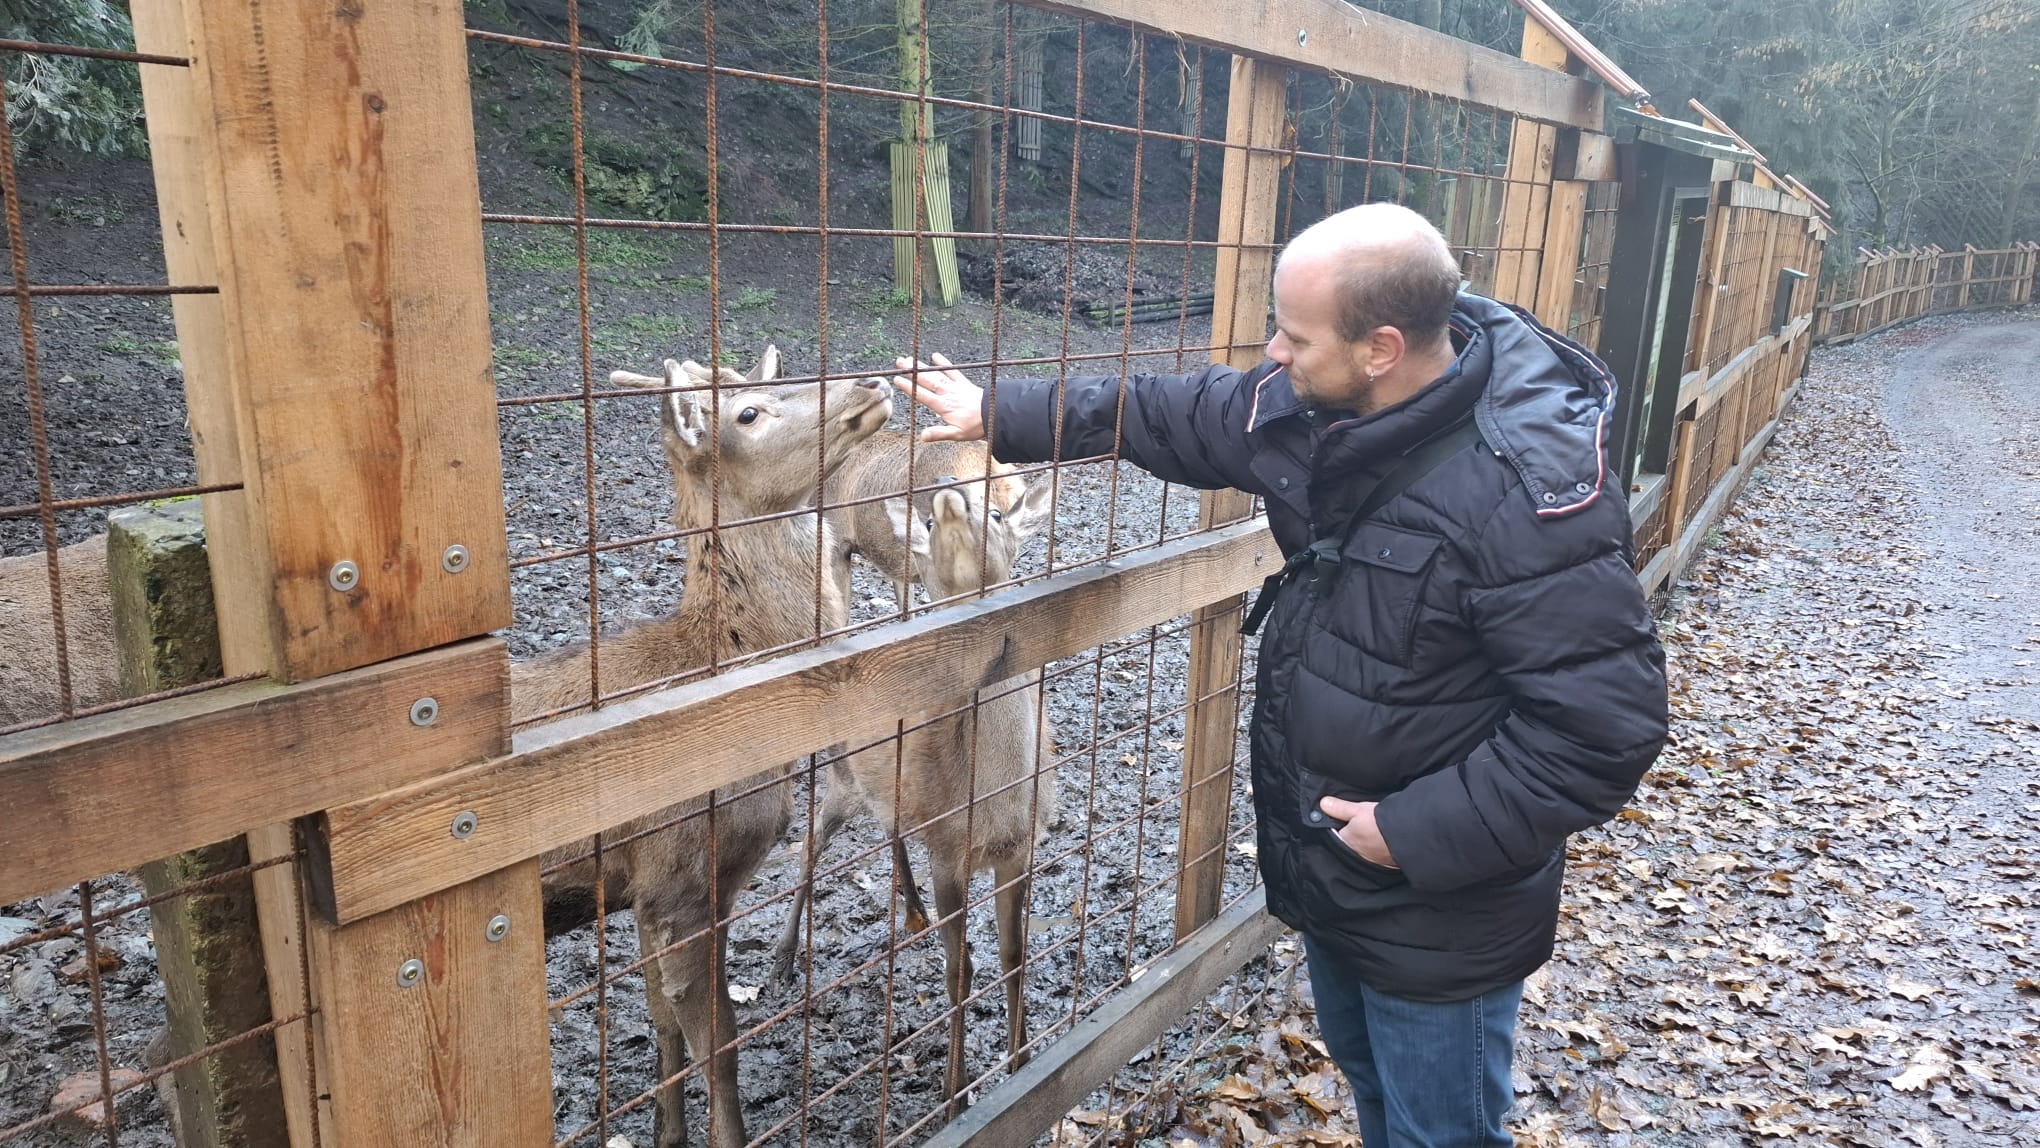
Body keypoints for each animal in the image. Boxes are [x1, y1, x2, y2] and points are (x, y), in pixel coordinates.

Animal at [515, 346, 892, 1148]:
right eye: (748, 413)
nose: (870, 380)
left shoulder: (641, 889)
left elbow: (661, 1028)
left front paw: (667, 1134)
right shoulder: (686, 877)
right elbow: (718, 1046)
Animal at [770, 473, 1057, 1108]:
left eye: (996, 512)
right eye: (927, 523)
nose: (948, 491)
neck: (991, 800)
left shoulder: (1020, 850)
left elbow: (1014, 956)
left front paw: (1022, 1059)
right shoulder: (950, 854)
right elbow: (961, 971)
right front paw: (957, 1089)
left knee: (891, 827)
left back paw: (912, 909)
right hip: (842, 780)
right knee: (810, 846)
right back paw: (781, 958)